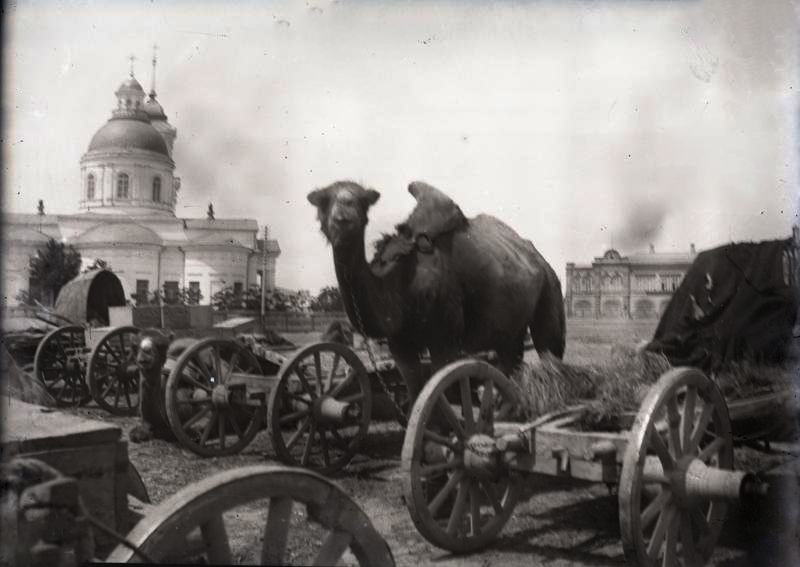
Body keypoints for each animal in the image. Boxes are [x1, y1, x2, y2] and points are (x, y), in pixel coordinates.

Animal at [308, 180, 568, 402]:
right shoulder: (399, 344)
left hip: (550, 288)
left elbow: (445, 391)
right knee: (511, 358)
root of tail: (541, 262)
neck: (400, 281)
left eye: (362, 200)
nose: (344, 211)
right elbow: (416, 392)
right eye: (322, 201)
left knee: (549, 351)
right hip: (510, 325)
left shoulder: (444, 337)